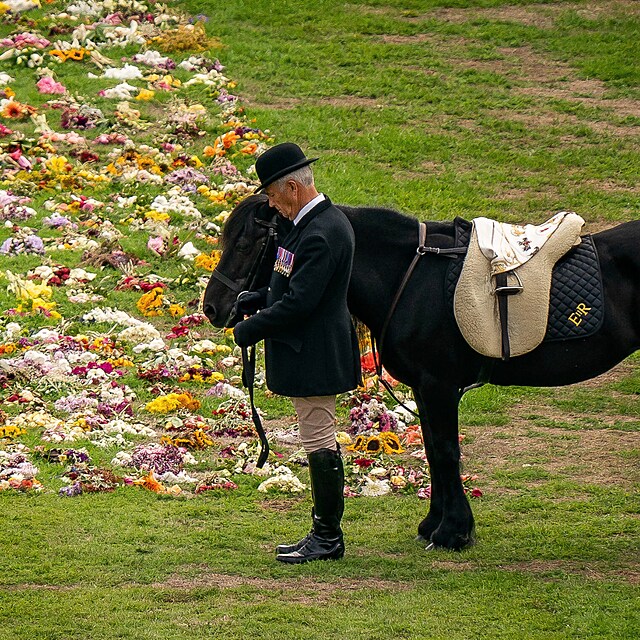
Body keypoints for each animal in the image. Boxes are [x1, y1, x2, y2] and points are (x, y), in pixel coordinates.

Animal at [205, 195, 640, 552]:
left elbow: (446, 451)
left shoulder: (438, 385)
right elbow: (433, 451)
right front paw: (434, 525)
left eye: (244, 245)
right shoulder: (424, 388)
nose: (212, 307)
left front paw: (454, 533)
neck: (411, 277)